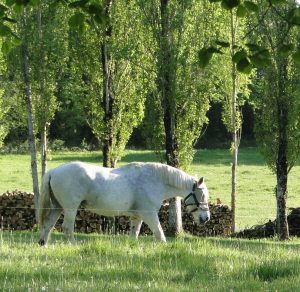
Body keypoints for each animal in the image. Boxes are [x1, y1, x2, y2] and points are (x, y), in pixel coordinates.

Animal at [38, 161, 211, 245]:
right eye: (202, 195)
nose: (206, 218)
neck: (155, 179)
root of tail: (53, 171)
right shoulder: (149, 214)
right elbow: (159, 234)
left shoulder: (137, 217)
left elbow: (134, 234)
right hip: (70, 208)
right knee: (67, 228)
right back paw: (73, 245)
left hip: (57, 207)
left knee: (48, 225)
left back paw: (43, 244)